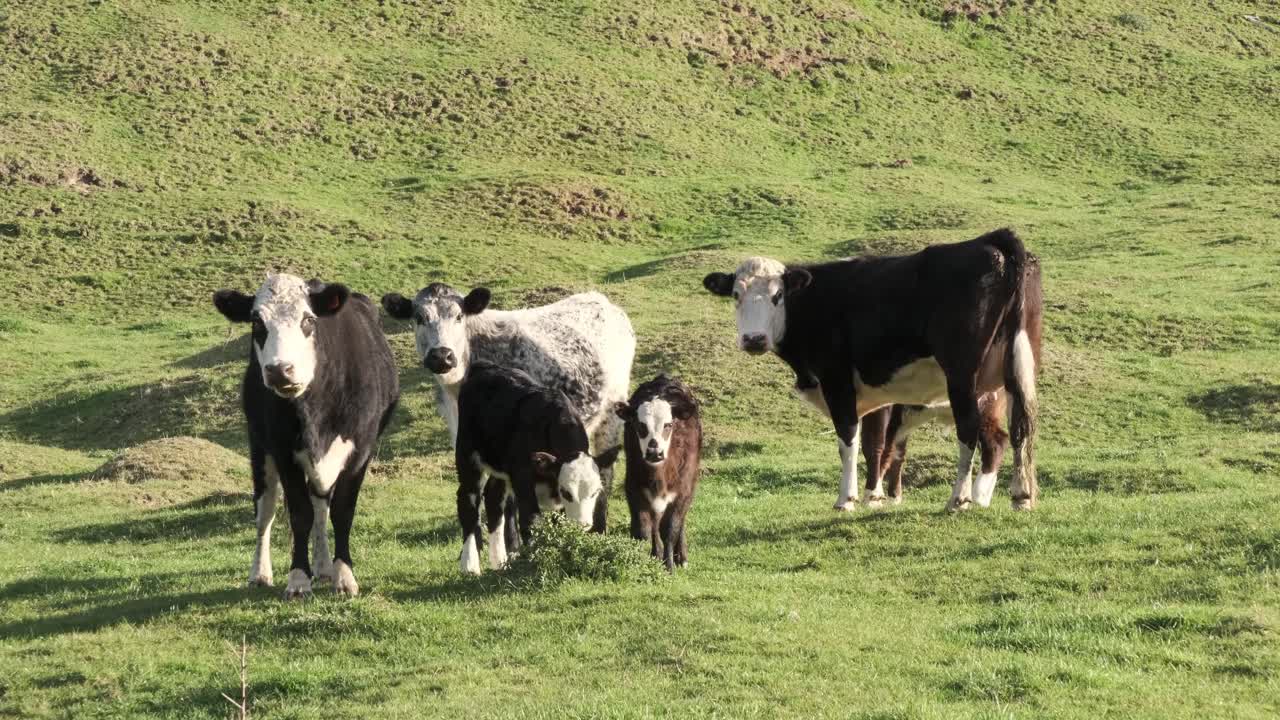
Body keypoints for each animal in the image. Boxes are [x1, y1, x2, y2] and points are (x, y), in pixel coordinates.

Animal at [213, 274, 399, 599]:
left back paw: (324, 567)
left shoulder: (360, 451)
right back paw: (260, 573)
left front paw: (344, 576)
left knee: (321, 506)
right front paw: (299, 579)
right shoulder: (283, 451)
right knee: (266, 510)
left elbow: (341, 512)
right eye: (257, 322)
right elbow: (300, 514)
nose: (280, 370)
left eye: (308, 319)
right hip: (259, 449)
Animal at [381, 285, 634, 531]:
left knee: (605, 475)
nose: (442, 356)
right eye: (419, 317)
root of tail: (600, 299)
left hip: (611, 416)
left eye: (459, 316)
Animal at [454, 361, 622, 574]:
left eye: (594, 492)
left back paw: (500, 562)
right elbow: (531, 520)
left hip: (500, 469)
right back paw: (470, 565)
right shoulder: (522, 477)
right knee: (468, 500)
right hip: (467, 456)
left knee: (494, 499)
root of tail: (485, 367)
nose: (582, 524)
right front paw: (535, 563)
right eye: (566, 492)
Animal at [614, 376, 702, 571]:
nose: (654, 452)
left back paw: (681, 556)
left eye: (668, 425)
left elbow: (670, 529)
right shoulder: (635, 489)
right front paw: (645, 561)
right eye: (640, 425)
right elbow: (645, 529)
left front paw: (669, 566)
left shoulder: (683, 491)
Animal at [702, 228, 1042, 512]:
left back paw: (960, 499)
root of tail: (992, 239)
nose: (754, 339)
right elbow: (874, 444)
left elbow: (849, 439)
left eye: (778, 296)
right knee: (1018, 428)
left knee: (973, 430)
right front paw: (873, 496)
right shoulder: (877, 394)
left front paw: (847, 498)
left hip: (963, 375)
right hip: (1016, 368)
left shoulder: (837, 380)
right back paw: (1018, 496)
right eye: (736, 295)